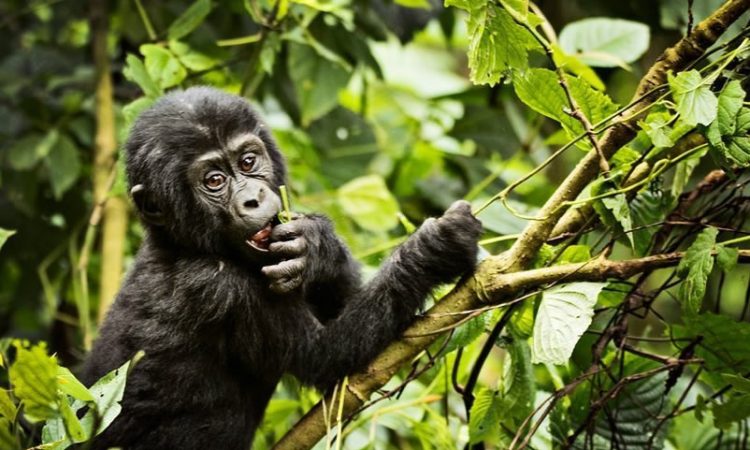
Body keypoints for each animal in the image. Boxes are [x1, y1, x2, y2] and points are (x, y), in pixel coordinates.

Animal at [83, 86, 482, 449]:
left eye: (247, 162)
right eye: (214, 180)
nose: (252, 199)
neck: (183, 244)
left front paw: (316, 245)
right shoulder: (218, 287)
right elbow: (330, 357)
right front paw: (433, 249)